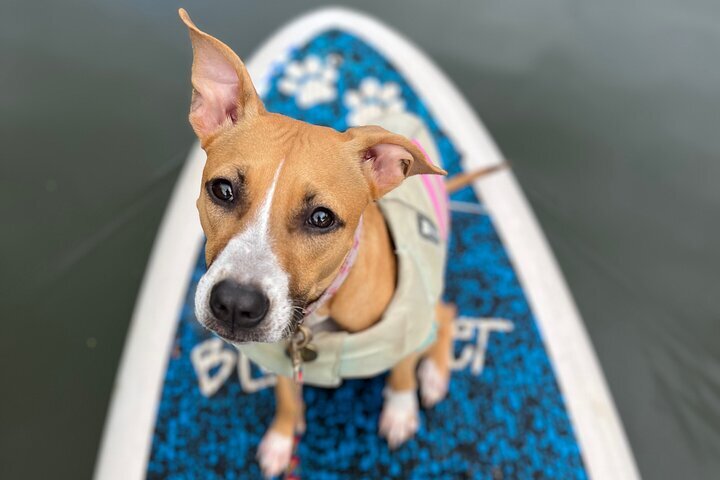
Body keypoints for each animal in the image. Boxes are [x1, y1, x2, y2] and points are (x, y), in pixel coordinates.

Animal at [177, 9, 464, 478]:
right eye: (222, 190)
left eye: (321, 218)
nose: (235, 305)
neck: (316, 319)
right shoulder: (278, 356)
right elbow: (285, 396)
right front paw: (282, 438)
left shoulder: (405, 324)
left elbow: (401, 370)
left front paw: (401, 412)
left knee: (447, 314)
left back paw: (435, 375)